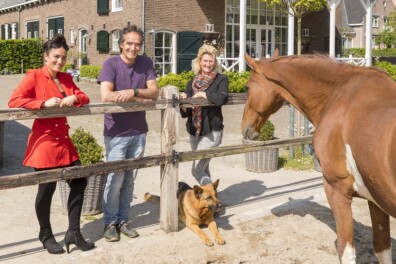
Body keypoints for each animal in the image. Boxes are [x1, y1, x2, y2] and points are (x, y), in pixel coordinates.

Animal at [240, 52, 396, 264]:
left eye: (247, 87)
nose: (244, 128)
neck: (338, 96)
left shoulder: (337, 190)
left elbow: (345, 249)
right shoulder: (375, 198)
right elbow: (383, 249)